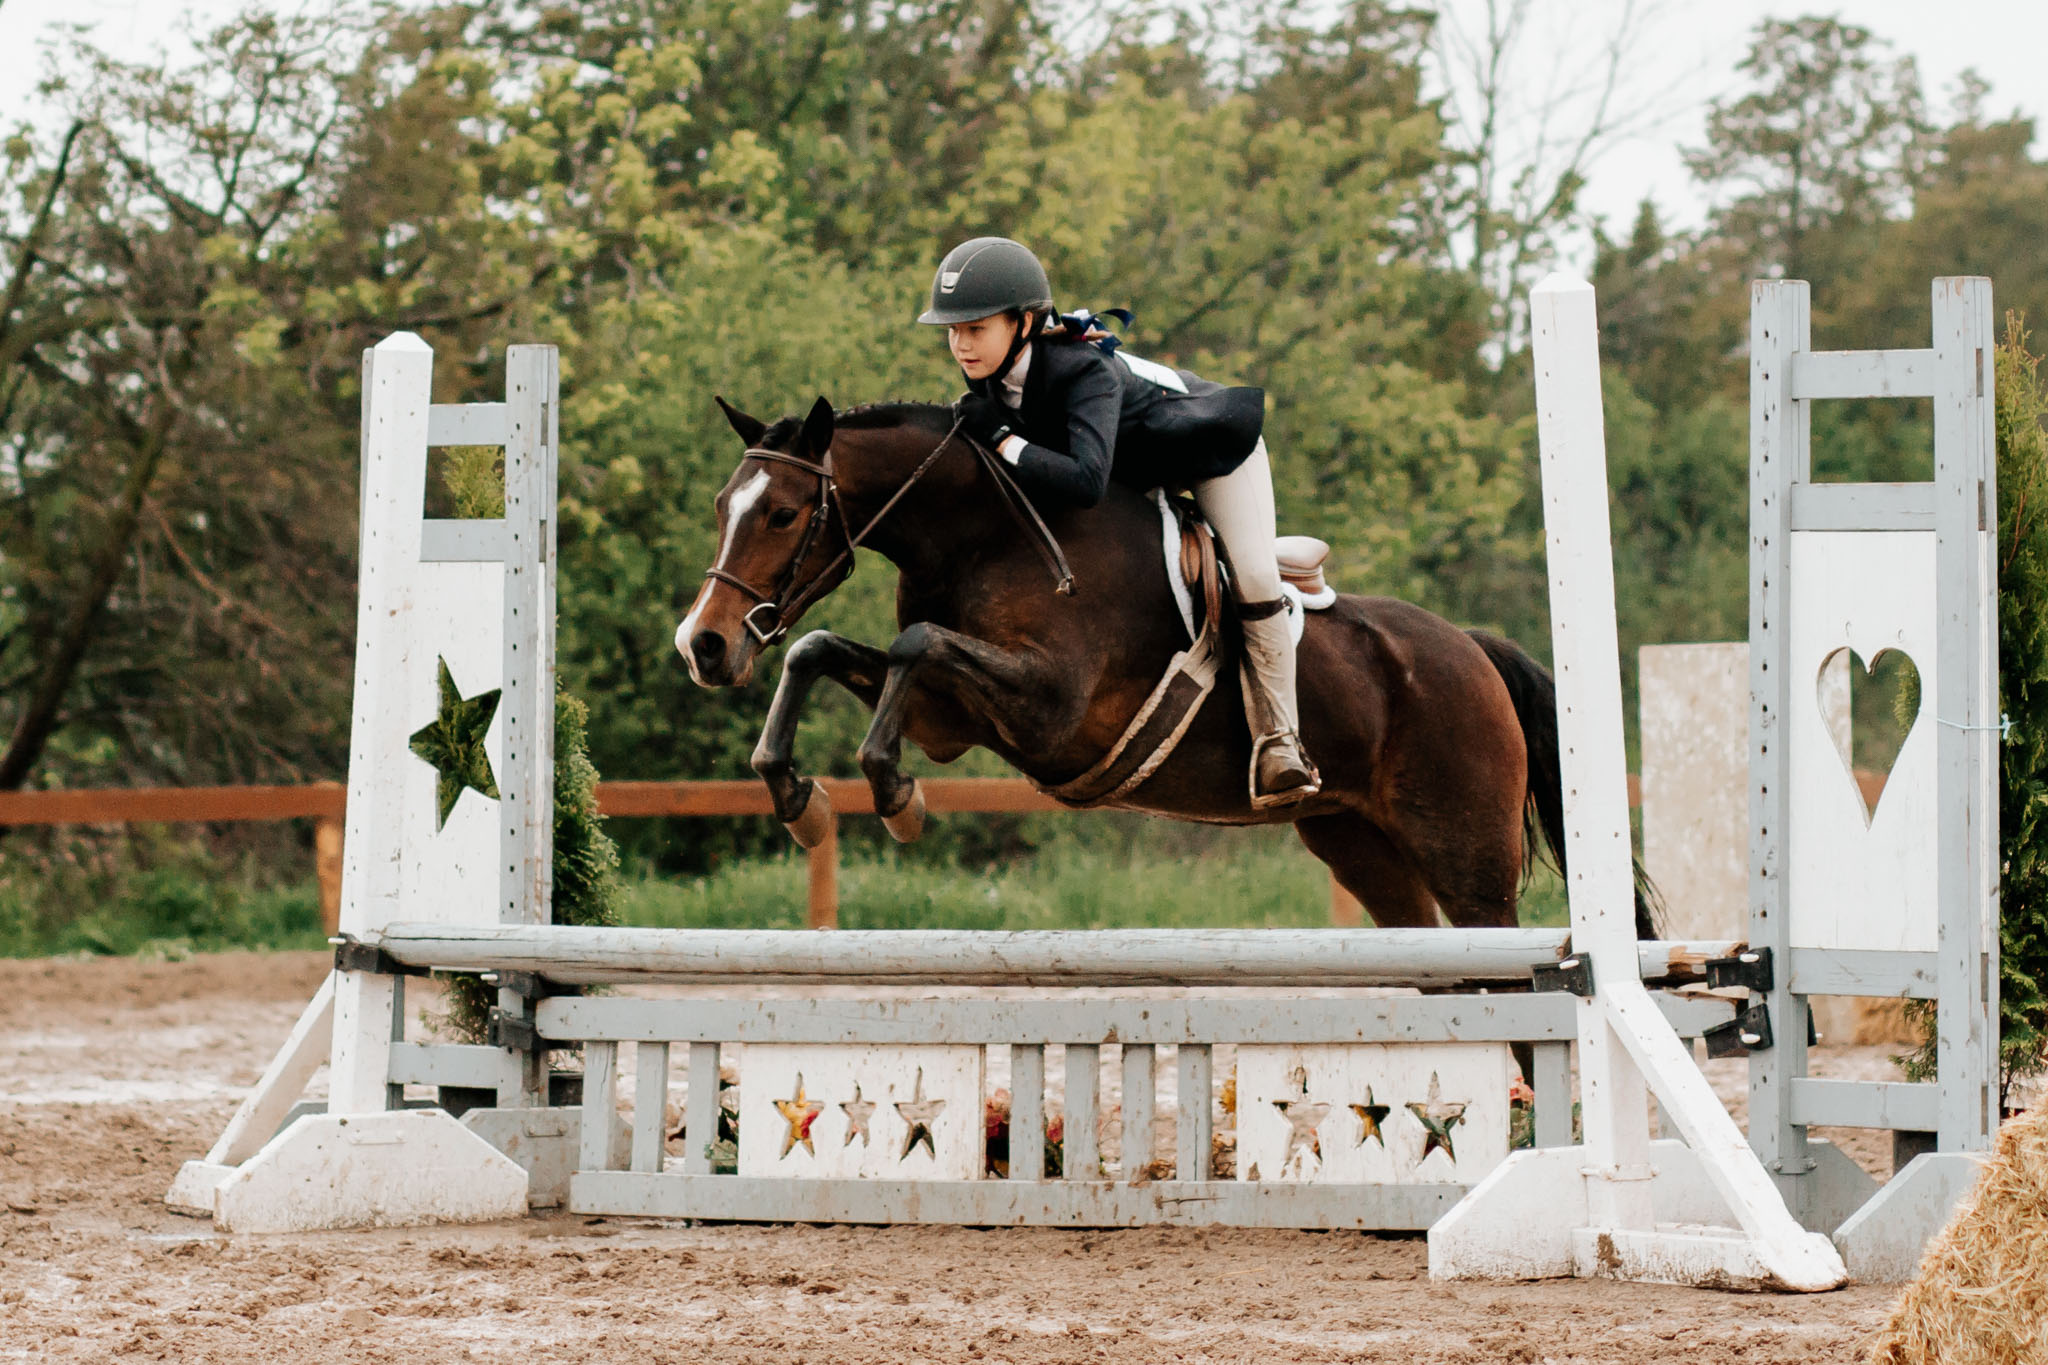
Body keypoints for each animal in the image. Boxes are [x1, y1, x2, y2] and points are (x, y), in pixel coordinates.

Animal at [674, 395, 1655, 937]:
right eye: (725, 502)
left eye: (784, 512)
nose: (705, 644)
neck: (984, 534)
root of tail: (1472, 648)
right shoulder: (955, 718)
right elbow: (821, 649)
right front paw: (799, 799)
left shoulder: (1050, 710)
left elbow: (916, 646)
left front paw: (893, 795)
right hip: (1360, 848)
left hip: (1468, 859)